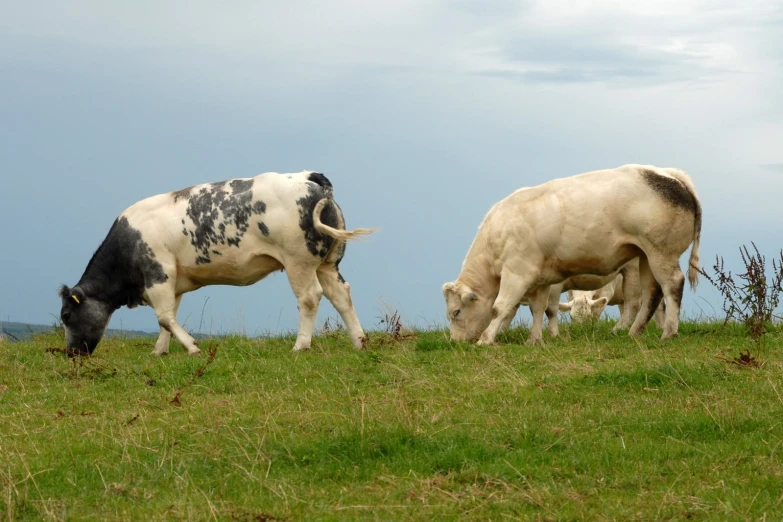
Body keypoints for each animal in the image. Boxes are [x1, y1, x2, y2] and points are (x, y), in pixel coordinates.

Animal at [57, 171, 374, 354]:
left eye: (66, 316)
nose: (72, 354)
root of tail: (309, 177)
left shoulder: (158, 273)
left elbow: (163, 317)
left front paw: (192, 348)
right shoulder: (173, 280)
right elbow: (168, 317)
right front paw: (160, 351)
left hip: (299, 261)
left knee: (309, 298)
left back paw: (301, 345)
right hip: (328, 263)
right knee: (341, 295)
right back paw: (359, 342)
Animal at [440, 162, 704, 344]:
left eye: (455, 312)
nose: (456, 342)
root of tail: (667, 173)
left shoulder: (518, 271)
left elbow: (501, 307)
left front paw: (485, 340)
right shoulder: (541, 279)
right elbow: (539, 308)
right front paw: (534, 340)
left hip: (660, 253)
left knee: (667, 287)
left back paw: (667, 332)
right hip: (645, 257)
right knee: (652, 293)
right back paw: (634, 332)